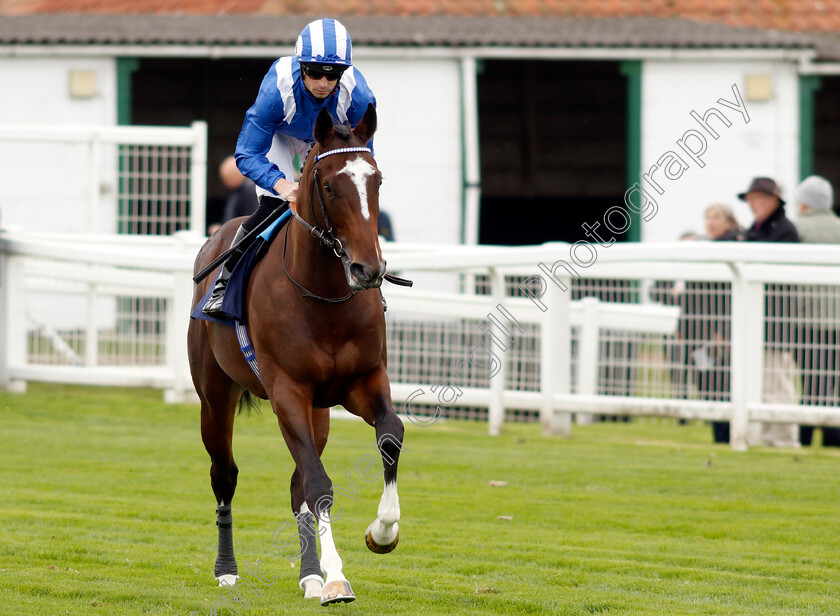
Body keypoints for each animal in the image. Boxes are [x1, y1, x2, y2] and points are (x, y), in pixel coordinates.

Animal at [188, 106, 404, 608]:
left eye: (377, 180)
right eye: (328, 185)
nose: (368, 269)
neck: (323, 295)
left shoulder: (364, 381)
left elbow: (389, 437)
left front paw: (381, 533)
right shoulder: (287, 391)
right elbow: (320, 484)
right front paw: (338, 579)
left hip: (318, 412)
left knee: (296, 484)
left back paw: (309, 575)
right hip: (215, 397)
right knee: (225, 474)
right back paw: (227, 570)